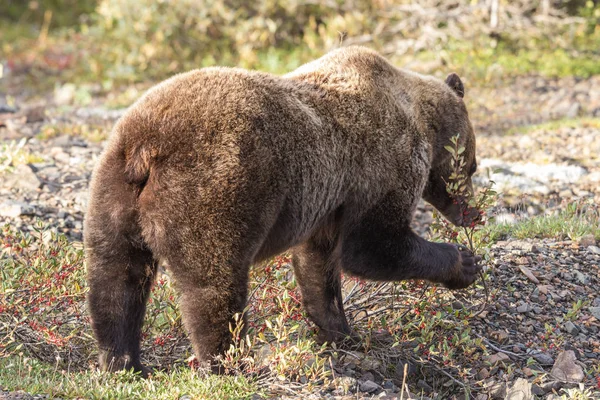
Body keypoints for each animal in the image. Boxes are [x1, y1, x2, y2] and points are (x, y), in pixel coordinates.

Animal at [84, 47, 480, 376]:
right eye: (473, 166)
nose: (474, 214)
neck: (419, 117)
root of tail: (147, 145)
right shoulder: (383, 166)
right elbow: (372, 246)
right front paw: (463, 262)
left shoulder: (328, 201)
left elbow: (318, 264)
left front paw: (340, 332)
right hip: (212, 187)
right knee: (213, 282)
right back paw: (229, 362)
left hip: (113, 192)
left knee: (116, 278)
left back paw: (122, 362)